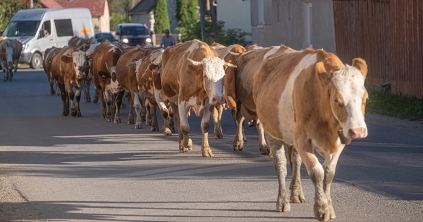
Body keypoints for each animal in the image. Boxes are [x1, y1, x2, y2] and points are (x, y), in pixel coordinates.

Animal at [253, 45, 370, 220]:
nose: (358, 131)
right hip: (272, 132)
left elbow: (328, 174)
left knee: (295, 161)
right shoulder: (302, 140)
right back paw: (282, 201)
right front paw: (321, 209)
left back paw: (296, 193)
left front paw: (329, 207)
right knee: (280, 165)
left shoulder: (339, 142)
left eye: (365, 98)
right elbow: (317, 173)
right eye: (337, 100)